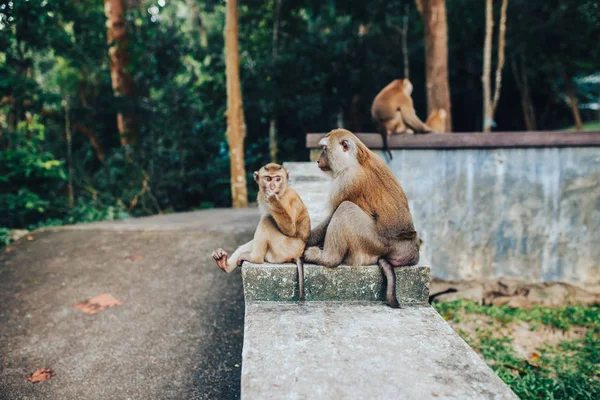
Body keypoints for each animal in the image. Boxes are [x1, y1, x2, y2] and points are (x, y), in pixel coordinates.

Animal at [211, 163, 310, 300]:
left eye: (278, 179)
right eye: (268, 179)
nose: (272, 187)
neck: (281, 192)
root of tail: (298, 254)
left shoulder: (286, 199)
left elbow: (290, 229)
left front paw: (273, 200)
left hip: (283, 251)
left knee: (267, 219)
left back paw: (255, 258)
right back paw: (224, 264)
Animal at [304, 130, 418, 308]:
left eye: (324, 149)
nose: (318, 160)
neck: (355, 160)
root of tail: (407, 248)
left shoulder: (346, 181)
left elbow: (332, 214)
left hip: (372, 241)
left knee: (345, 208)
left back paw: (327, 258)